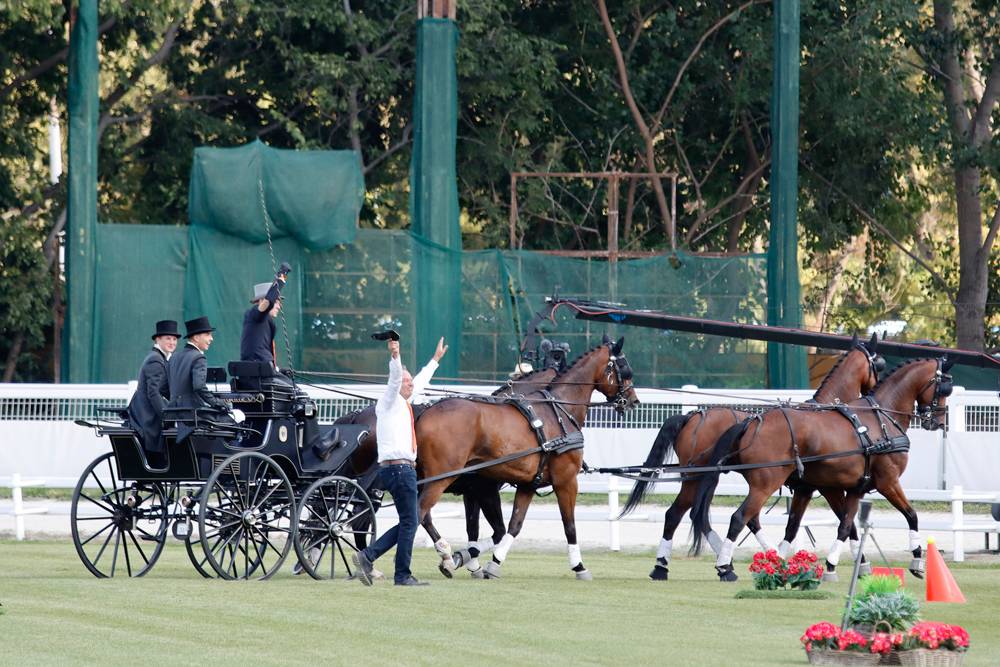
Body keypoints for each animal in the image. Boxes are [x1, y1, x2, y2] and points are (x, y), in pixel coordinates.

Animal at [416, 340, 640, 580]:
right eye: (625, 369)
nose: (633, 400)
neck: (558, 412)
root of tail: (424, 415)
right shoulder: (565, 481)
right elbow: (568, 525)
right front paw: (579, 566)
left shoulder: (525, 484)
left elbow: (511, 526)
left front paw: (489, 562)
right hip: (438, 479)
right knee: (420, 513)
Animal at [620, 336, 888, 580]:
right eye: (880, 365)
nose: (873, 396)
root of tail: (691, 416)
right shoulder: (821, 487)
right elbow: (845, 522)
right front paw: (861, 564)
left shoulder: (808, 488)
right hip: (702, 479)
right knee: (696, 515)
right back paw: (719, 565)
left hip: (697, 479)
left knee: (678, 514)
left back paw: (664, 566)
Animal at [692, 358, 956, 580]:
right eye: (944, 388)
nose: (938, 422)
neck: (881, 419)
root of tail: (753, 421)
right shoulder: (887, 482)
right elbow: (911, 515)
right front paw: (917, 559)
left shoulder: (846, 488)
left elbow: (843, 525)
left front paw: (837, 564)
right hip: (765, 484)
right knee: (740, 518)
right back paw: (725, 566)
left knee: (753, 519)